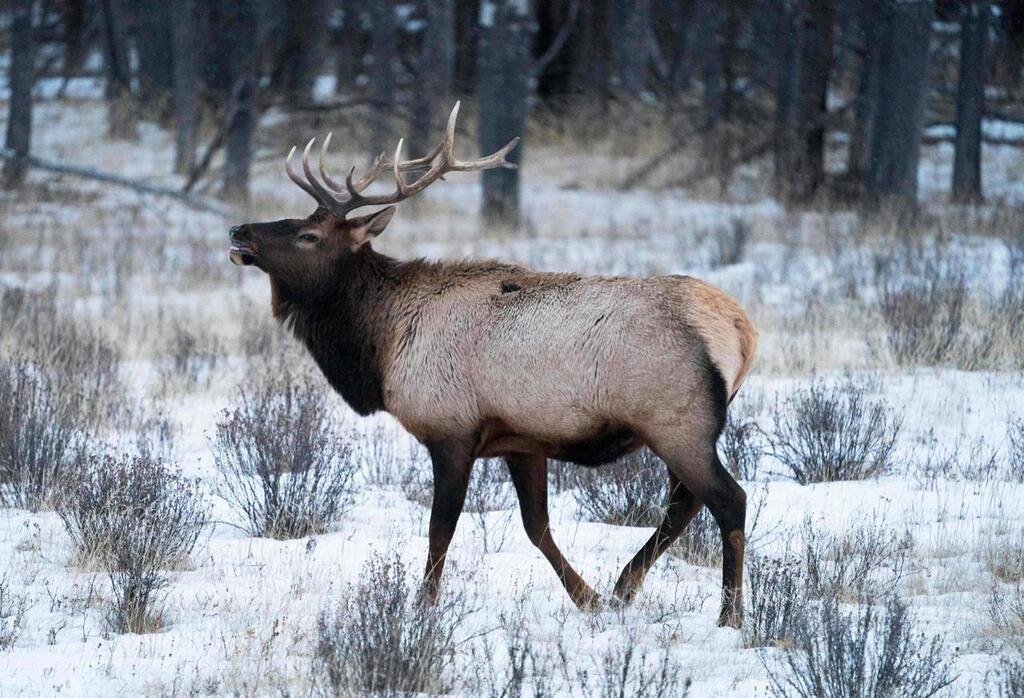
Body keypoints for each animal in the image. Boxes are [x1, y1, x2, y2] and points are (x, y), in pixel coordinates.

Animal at [232, 104, 761, 626]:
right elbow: (537, 527)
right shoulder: (522, 440)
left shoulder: (451, 430)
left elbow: (440, 529)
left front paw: (421, 608)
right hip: (680, 427)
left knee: (727, 500)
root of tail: (742, 330)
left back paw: (729, 616)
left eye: (308, 235)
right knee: (684, 503)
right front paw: (587, 599)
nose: (239, 230)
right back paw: (623, 587)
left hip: (677, 421)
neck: (380, 346)